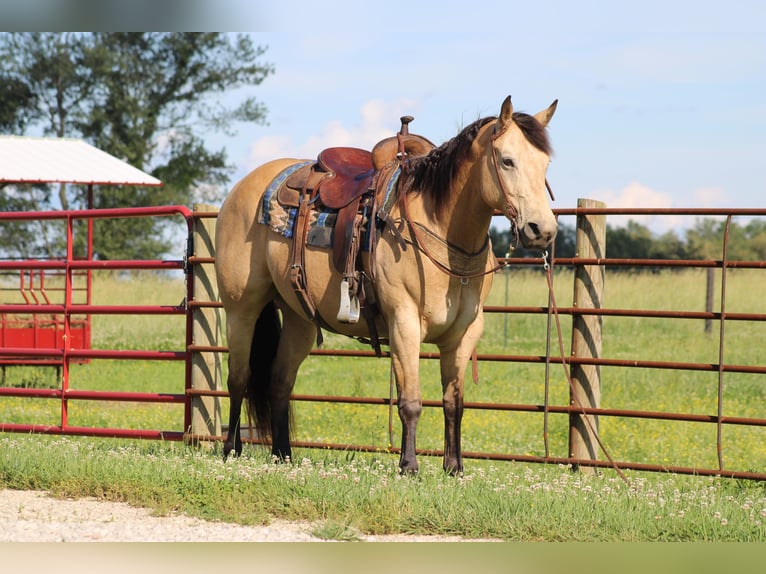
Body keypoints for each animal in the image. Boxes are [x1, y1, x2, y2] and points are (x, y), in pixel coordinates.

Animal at [214, 95, 558, 474]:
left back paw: (283, 454)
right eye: (508, 161)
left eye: (545, 164)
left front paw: (454, 467)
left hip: (298, 319)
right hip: (241, 309)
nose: (542, 230)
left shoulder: (465, 333)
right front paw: (408, 465)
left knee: (279, 381)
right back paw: (231, 449)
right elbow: (411, 401)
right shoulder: (404, 324)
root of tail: (244, 187)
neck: (440, 230)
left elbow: (454, 402)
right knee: (239, 377)